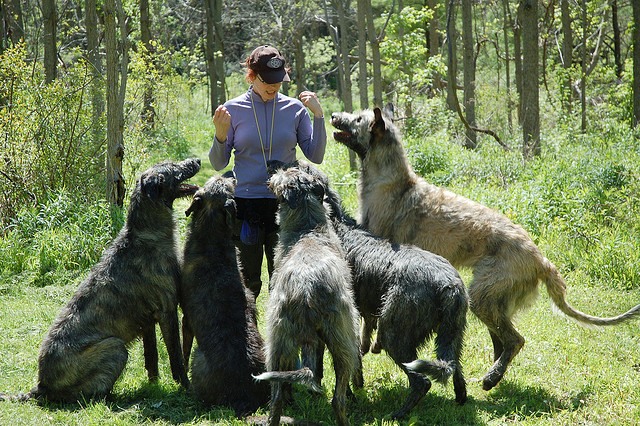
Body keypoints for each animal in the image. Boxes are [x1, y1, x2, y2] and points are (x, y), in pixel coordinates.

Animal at [180, 173, 270, 416]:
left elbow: (183, 352)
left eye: (227, 184)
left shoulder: (185, 319)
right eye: (218, 181)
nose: (232, 174)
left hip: (199, 359)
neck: (211, 239)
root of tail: (243, 396)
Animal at [254, 168, 362, 426]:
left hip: (278, 344)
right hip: (344, 337)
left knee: (277, 398)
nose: (272, 172)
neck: (308, 230)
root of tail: (306, 293)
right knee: (338, 398)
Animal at [272, 160, 468, 420]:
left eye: (297, 167)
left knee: (422, 381)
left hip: (393, 333)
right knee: (456, 371)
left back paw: (398, 415)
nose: (275, 164)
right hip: (453, 333)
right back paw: (460, 401)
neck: (334, 223)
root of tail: (451, 285)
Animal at [330, 105, 640, 392]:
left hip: (482, 296)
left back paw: (492, 377)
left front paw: (370, 343)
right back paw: (493, 374)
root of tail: (541, 259)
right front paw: (368, 344)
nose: (333, 115)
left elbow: (369, 318)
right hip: (492, 302)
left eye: (358, 119)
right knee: (502, 342)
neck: (392, 181)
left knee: (515, 340)